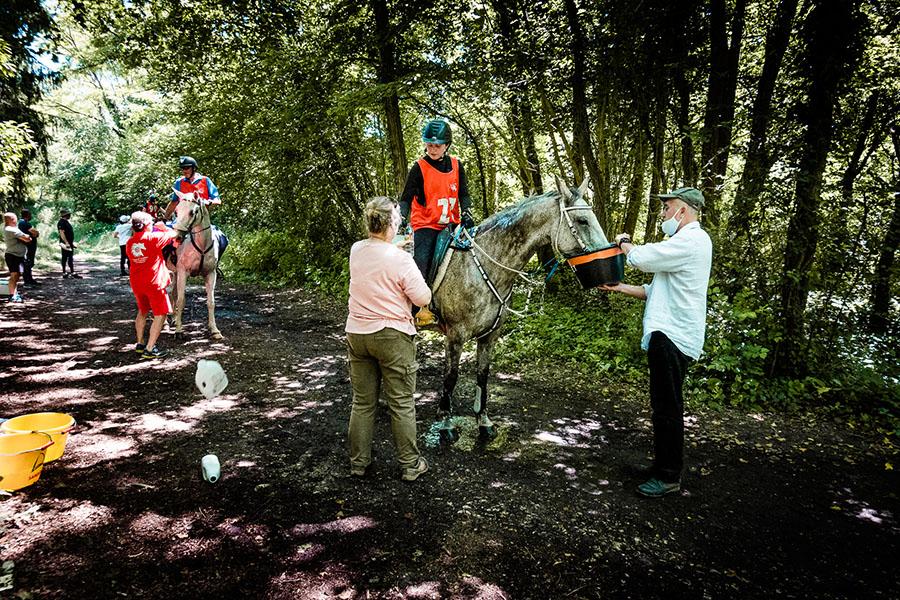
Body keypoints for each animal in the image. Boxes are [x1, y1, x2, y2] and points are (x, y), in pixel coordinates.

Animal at [171, 192, 223, 342]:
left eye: (192, 212)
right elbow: (181, 301)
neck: (201, 245)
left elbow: (211, 302)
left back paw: (174, 319)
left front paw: (214, 330)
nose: (176, 238)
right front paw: (179, 331)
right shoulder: (183, 273)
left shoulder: (211, 274)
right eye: (176, 211)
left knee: (173, 294)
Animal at [432, 176, 608, 438]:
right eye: (582, 220)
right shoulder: (455, 335)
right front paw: (446, 423)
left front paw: (483, 421)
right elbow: (450, 378)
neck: (483, 265)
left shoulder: (490, 336)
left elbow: (482, 375)